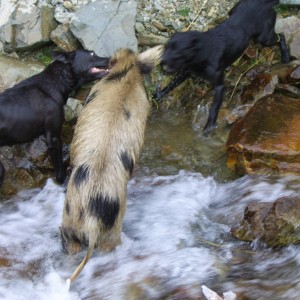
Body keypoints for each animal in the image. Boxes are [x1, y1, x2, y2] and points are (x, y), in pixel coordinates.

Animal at [156, 0, 290, 134]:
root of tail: (266, 2)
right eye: (166, 47)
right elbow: (173, 83)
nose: (161, 62)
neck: (203, 52)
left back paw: (285, 55)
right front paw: (160, 94)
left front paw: (208, 127)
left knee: (281, 36)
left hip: (264, 37)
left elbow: (214, 109)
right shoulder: (187, 70)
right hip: (234, 11)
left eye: (178, 53)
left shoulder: (219, 86)